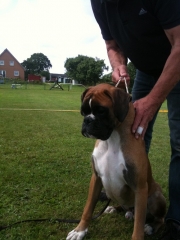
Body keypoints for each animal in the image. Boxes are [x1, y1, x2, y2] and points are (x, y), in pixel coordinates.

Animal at [66, 83, 166, 240]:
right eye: (84, 111)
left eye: (101, 111)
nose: (87, 120)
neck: (111, 140)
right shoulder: (96, 178)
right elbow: (88, 208)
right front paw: (80, 230)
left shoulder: (140, 187)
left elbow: (138, 224)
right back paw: (114, 208)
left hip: (155, 197)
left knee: (159, 219)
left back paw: (151, 226)